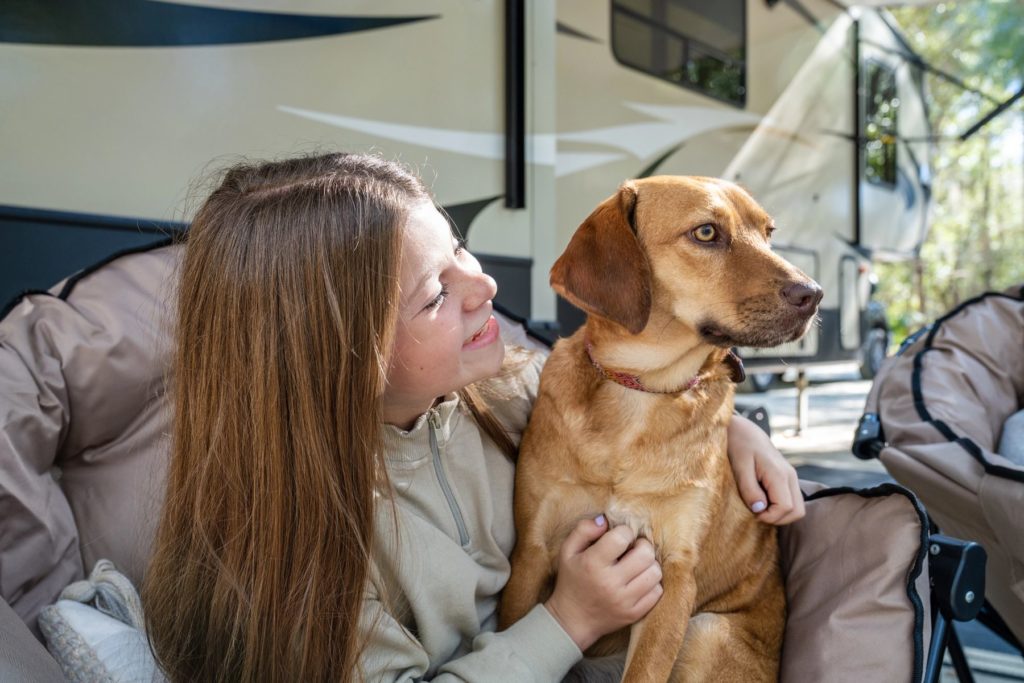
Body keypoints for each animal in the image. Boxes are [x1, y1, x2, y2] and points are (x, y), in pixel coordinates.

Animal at [499, 178, 819, 683]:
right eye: (706, 232)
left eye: (769, 234)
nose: (814, 294)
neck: (644, 389)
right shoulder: (531, 553)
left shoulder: (674, 576)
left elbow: (645, 672)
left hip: (705, 630)